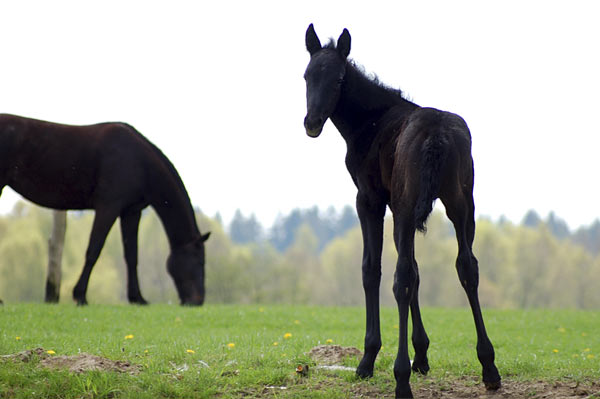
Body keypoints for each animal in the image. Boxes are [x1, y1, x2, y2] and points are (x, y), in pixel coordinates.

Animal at [0, 114, 211, 308]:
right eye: (199, 261)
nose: (198, 301)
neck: (139, 162)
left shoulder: (131, 212)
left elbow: (132, 255)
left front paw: (137, 298)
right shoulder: (108, 207)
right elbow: (94, 249)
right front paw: (80, 296)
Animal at [304, 24, 502, 396]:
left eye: (339, 79)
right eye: (307, 75)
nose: (311, 122)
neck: (370, 122)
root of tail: (436, 136)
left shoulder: (371, 199)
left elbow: (373, 269)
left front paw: (368, 360)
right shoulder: (399, 208)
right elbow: (419, 269)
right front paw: (422, 355)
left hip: (413, 203)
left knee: (401, 278)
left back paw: (400, 378)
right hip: (460, 202)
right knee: (466, 266)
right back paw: (489, 366)